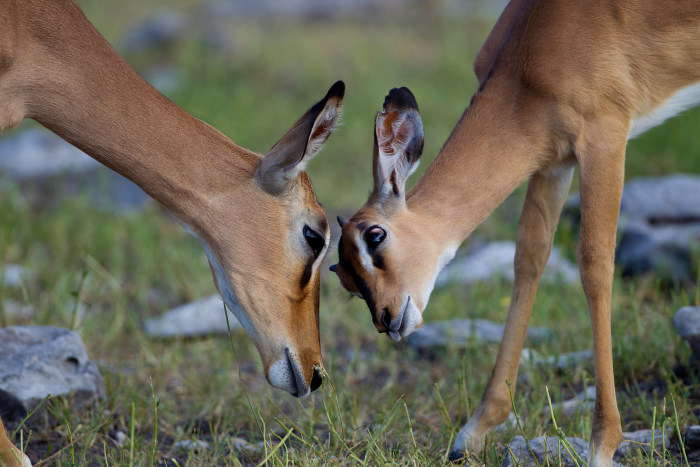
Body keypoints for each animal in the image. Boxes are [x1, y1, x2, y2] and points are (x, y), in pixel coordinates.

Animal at [330, 0, 700, 465]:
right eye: (344, 277)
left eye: (376, 236)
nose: (387, 319)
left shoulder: (605, 137)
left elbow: (595, 266)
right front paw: (474, 430)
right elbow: (529, 258)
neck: (531, 46)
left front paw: (602, 444)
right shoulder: (553, 161)